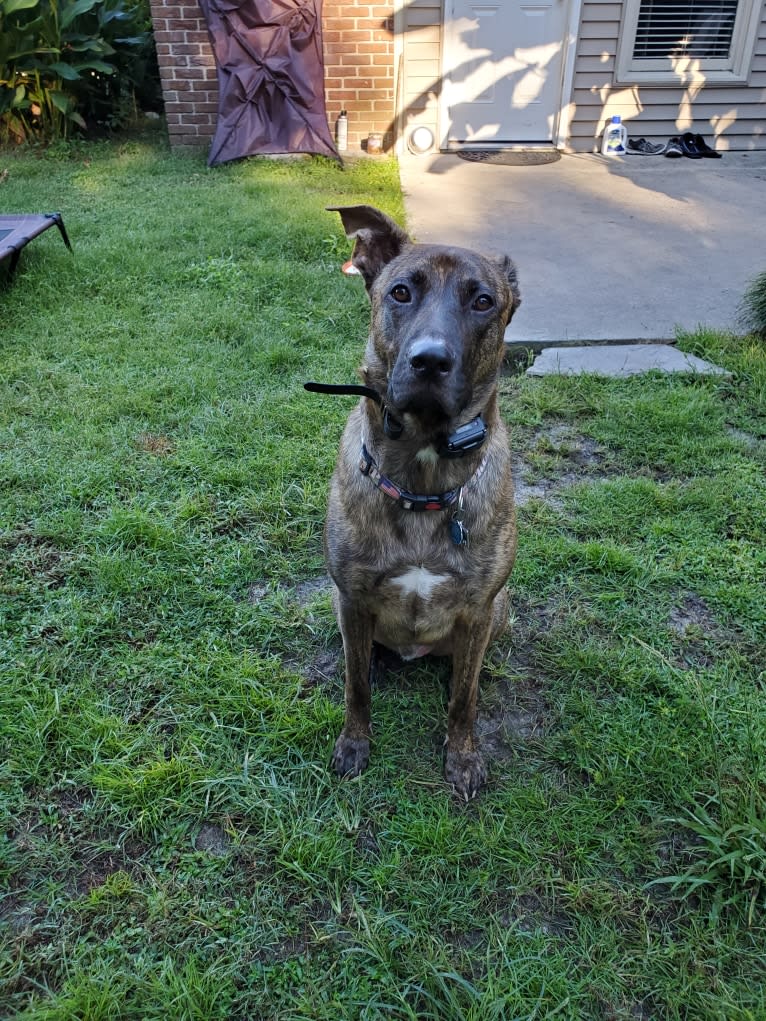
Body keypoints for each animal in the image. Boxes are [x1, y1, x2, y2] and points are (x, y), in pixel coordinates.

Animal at [312, 205, 522, 796]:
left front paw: (463, 755)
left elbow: (464, 700)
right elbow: (355, 689)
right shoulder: (352, 598)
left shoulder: (477, 609)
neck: (423, 481)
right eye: (401, 292)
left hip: (500, 610)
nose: (430, 361)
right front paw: (354, 744)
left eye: (483, 301)